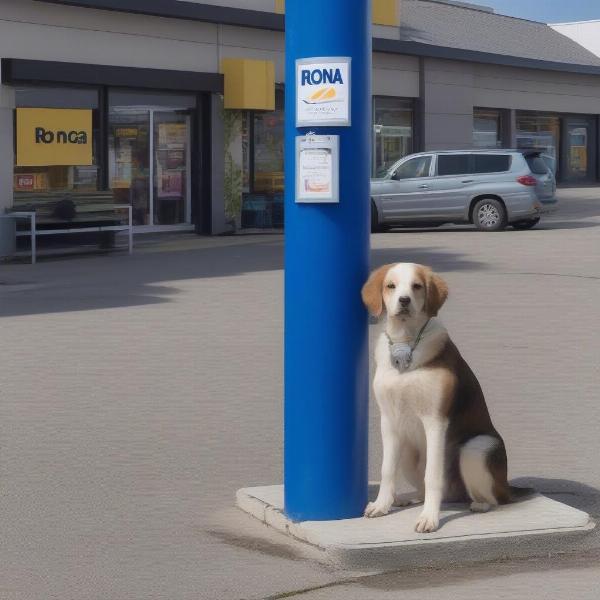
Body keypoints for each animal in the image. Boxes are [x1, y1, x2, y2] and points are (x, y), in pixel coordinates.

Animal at [360, 264, 524, 532]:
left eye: (416, 286)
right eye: (391, 286)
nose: (404, 300)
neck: (406, 342)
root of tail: (508, 486)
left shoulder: (435, 421)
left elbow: (433, 475)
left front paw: (429, 518)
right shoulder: (389, 420)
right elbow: (387, 470)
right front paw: (382, 505)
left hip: (476, 448)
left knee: (495, 499)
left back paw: (479, 504)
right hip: (409, 452)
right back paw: (406, 499)